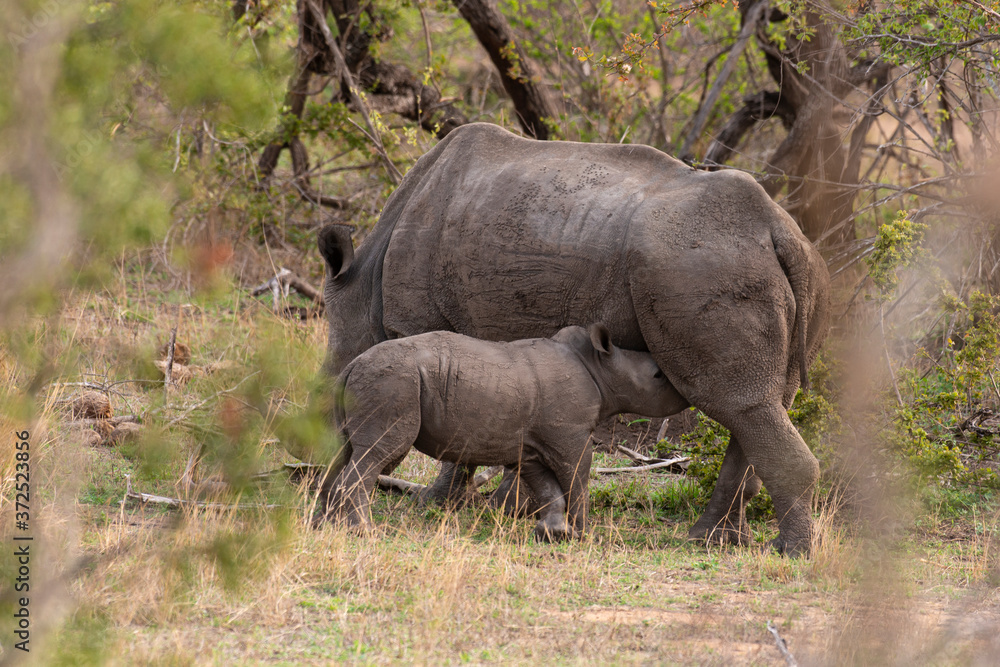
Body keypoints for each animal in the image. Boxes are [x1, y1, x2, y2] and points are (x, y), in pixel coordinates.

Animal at [320, 324, 688, 544]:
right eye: (657, 375)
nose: (684, 394)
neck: (602, 369)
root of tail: (352, 365)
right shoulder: (569, 436)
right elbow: (578, 478)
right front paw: (585, 535)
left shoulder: (533, 446)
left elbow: (547, 487)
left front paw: (554, 533)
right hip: (394, 382)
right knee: (378, 455)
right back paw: (364, 531)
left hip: (374, 380)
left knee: (344, 452)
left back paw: (324, 525)